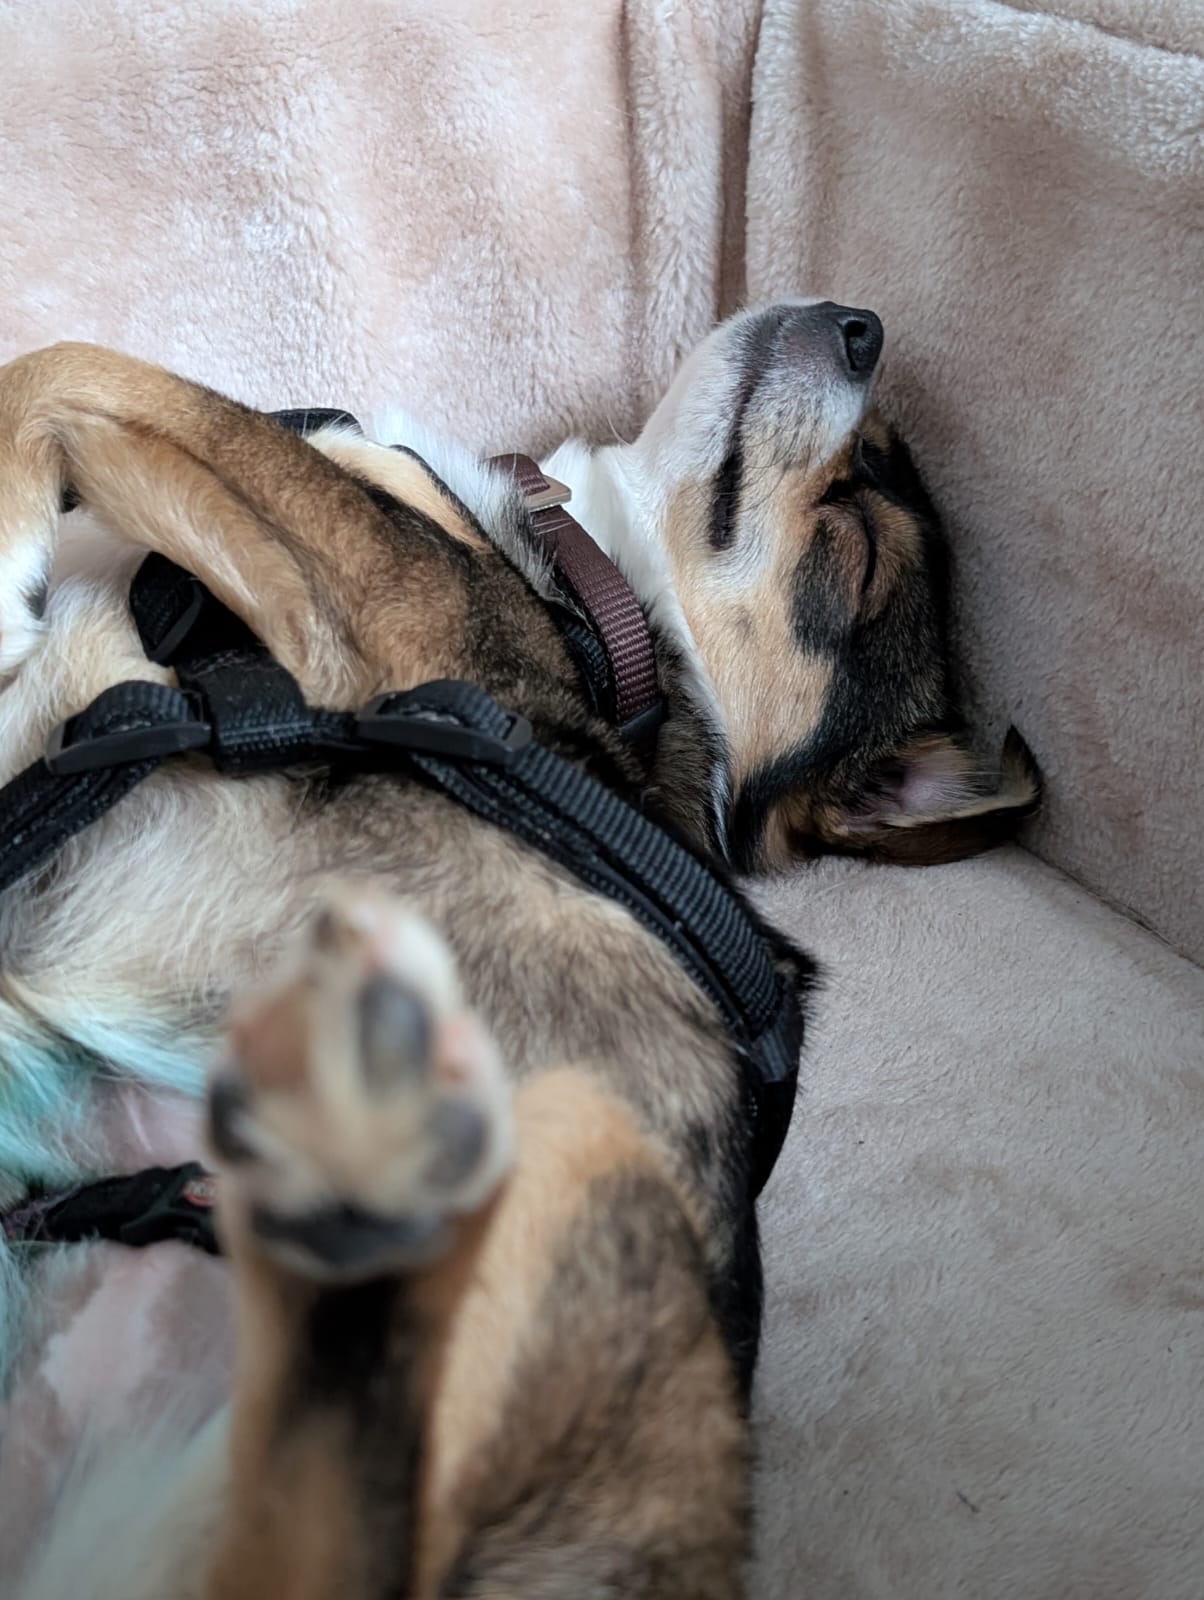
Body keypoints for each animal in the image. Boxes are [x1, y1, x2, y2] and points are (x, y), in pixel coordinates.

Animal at [0, 300, 1037, 1598]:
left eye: (851, 552)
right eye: (867, 468)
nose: (860, 325)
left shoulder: (391, 602)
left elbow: (74, 367)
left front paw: (9, 564)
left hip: (569, 1141)